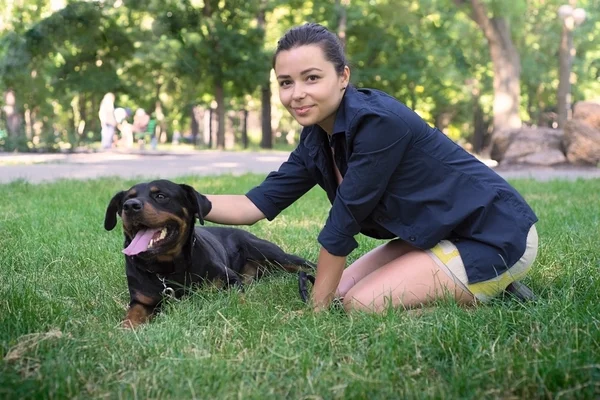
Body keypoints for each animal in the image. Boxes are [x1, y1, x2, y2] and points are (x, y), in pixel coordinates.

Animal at [104, 180, 314, 326]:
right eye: (126, 199)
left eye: (161, 196)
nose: (130, 206)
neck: (167, 269)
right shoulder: (141, 301)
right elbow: (132, 315)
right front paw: (125, 330)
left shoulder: (230, 279)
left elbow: (239, 298)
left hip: (273, 254)